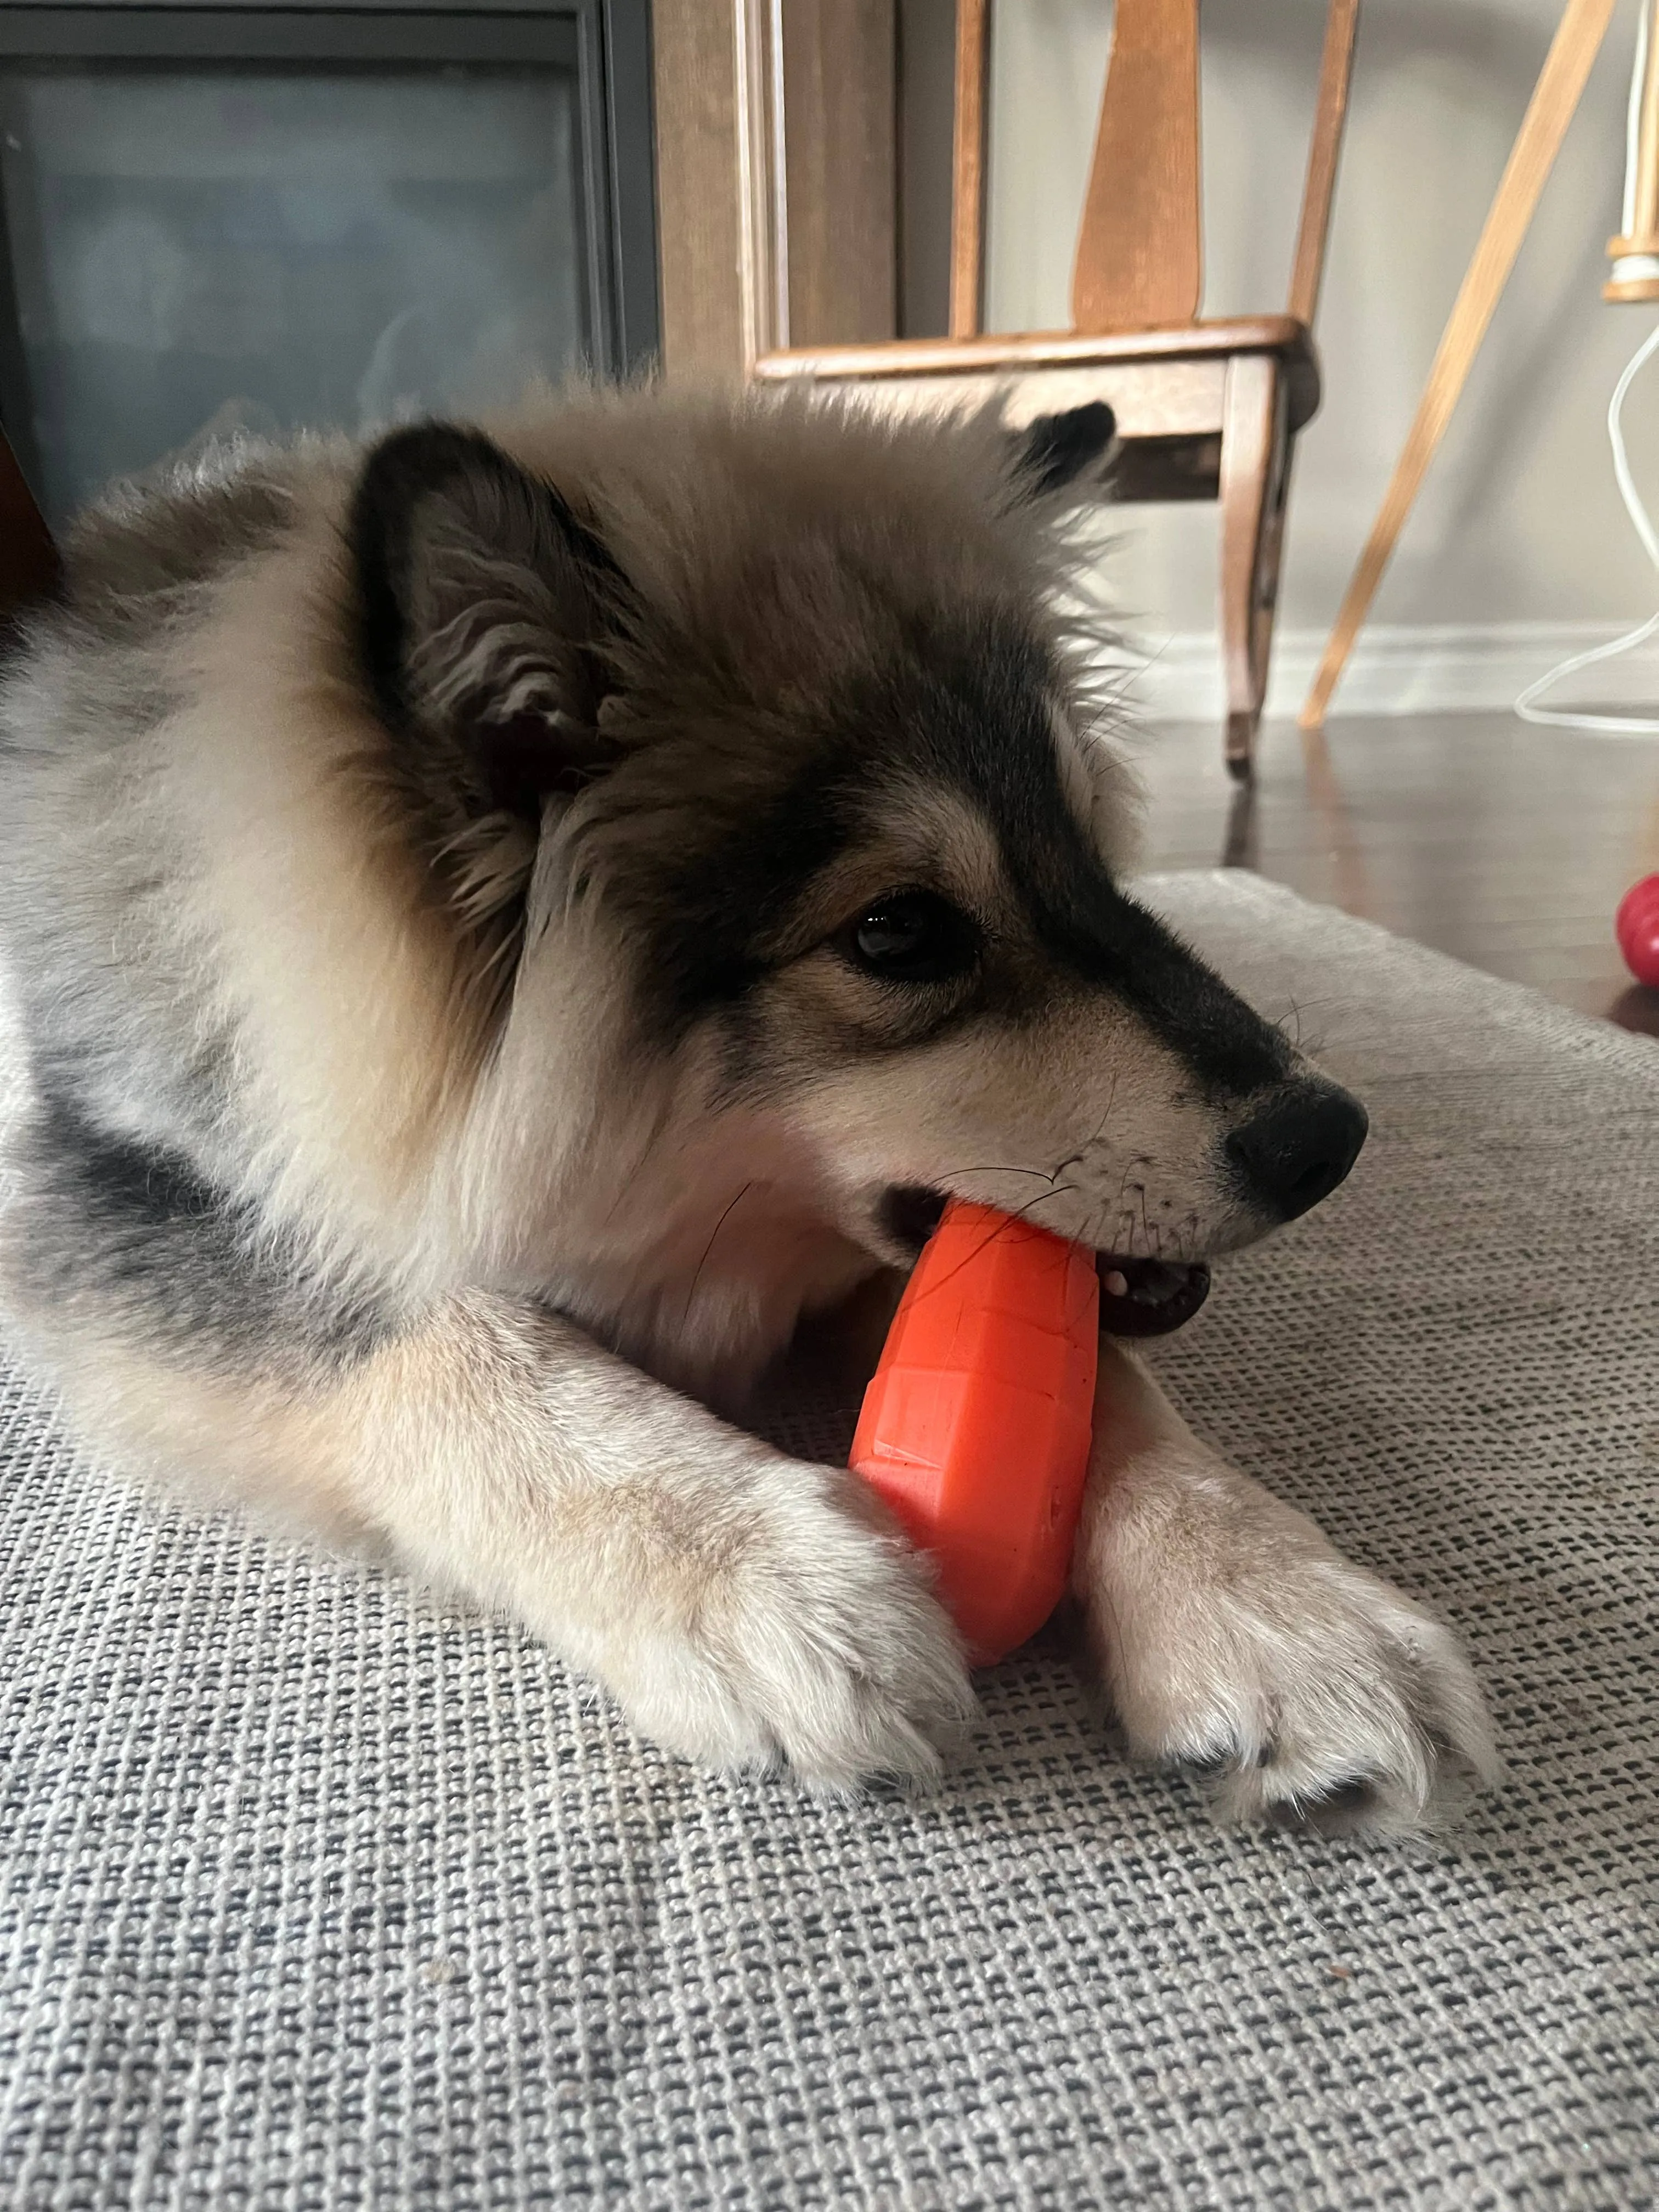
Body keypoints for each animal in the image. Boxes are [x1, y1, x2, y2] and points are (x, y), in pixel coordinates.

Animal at [0, 393, 1504, 1831]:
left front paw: (1287, 1615)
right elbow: (456, 1346)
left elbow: (1119, 1390)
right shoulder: (122, 1211)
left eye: (1095, 862)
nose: (1328, 1141)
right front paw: (765, 1579)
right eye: (899, 933)